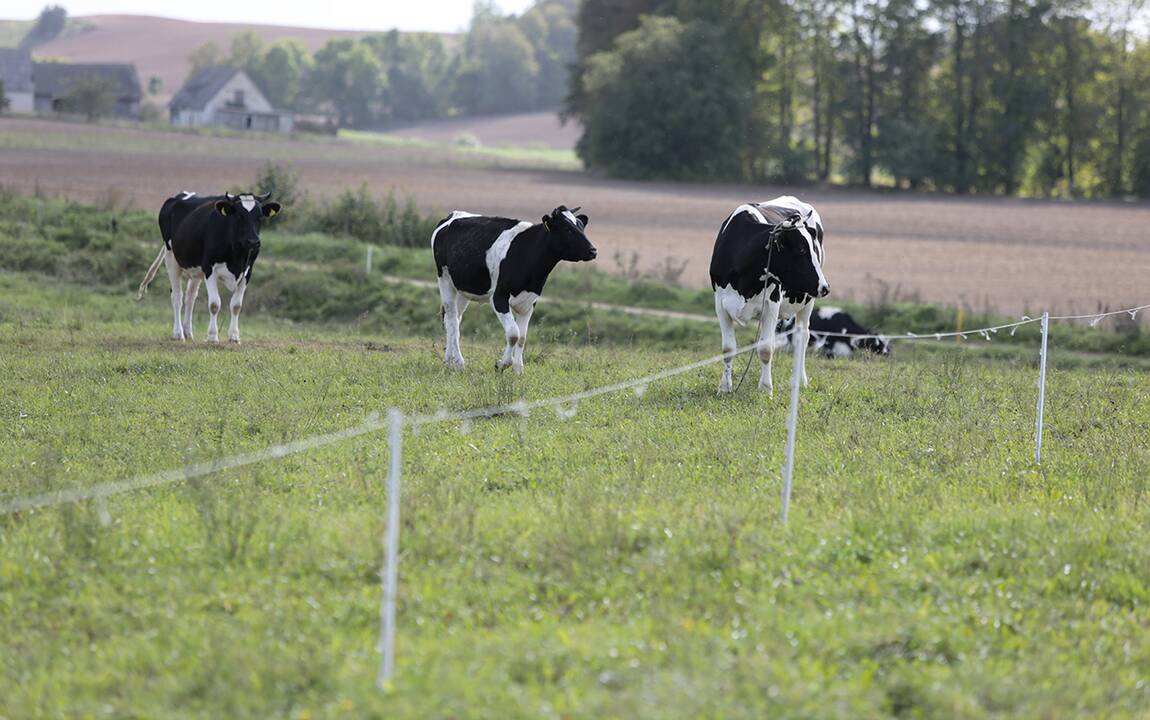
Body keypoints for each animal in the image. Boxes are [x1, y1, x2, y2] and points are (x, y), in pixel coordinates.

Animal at [136, 190, 280, 342]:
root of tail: (180, 195)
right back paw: (178, 333)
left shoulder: (247, 271)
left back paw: (188, 332)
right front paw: (212, 336)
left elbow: (236, 305)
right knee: (177, 296)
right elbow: (214, 304)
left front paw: (234, 336)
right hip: (171, 258)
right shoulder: (209, 268)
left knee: (190, 298)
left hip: (195, 271)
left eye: (260, 217)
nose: (253, 242)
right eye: (239, 216)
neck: (237, 257)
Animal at [430, 202, 593, 370]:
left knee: (454, 318)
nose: (593, 250)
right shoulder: (499, 297)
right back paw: (459, 362)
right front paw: (502, 364)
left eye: (581, 227)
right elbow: (513, 333)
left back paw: (449, 361)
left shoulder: (530, 301)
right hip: (444, 279)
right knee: (451, 318)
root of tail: (452, 215)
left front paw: (518, 369)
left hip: (463, 288)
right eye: (568, 229)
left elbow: (522, 337)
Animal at [703, 194, 832, 393]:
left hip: (808, 299)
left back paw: (800, 380)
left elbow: (765, 349)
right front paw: (724, 387)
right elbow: (728, 349)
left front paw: (765, 388)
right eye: (801, 249)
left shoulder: (771, 303)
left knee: (802, 336)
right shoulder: (720, 303)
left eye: (813, 248)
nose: (825, 288)